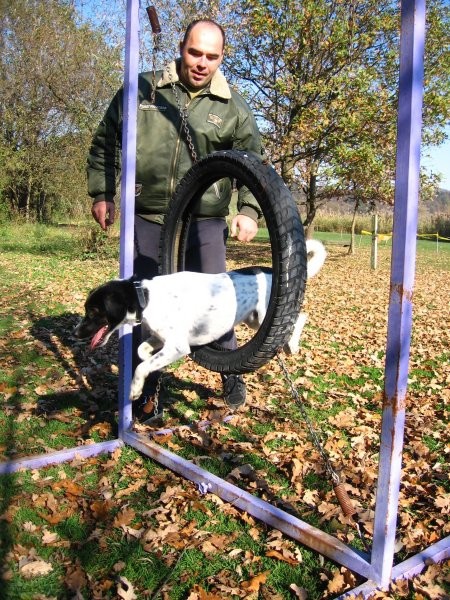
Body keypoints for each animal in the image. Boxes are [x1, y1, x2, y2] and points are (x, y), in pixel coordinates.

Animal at [74, 238, 326, 398]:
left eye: (93, 312)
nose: (76, 333)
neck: (145, 296)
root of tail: (274, 270)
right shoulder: (161, 339)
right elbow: (142, 352)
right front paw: (151, 363)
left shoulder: (178, 346)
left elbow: (142, 367)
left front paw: (135, 390)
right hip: (254, 319)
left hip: (267, 315)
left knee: (300, 317)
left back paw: (292, 344)